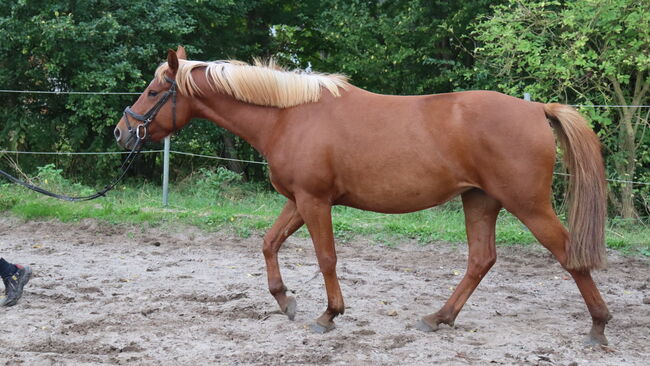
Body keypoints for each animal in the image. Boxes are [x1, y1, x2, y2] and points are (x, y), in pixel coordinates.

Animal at [115, 47, 608, 344]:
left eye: (154, 91)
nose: (121, 132)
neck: (288, 117)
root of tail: (537, 109)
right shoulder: (297, 201)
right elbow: (269, 243)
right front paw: (285, 300)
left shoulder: (314, 202)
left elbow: (326, 257)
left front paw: (329, 314)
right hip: (480, 201)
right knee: (480, 260)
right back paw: (439, 318)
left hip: (528, 206)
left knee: (569, 255)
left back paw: (599, 326)